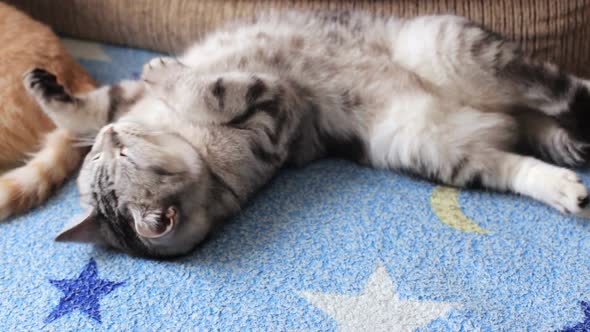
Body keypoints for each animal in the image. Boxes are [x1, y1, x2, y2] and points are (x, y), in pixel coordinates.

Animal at [24, 11, 590, 258]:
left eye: (109, 157)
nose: (111, 138)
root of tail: (498, 110)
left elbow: (96, 102)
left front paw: (45, 84)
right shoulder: (270, 111)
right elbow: (208, 89)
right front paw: (163, 72)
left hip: (452, 50)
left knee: (560, 93)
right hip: (438, 145)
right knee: (533, 137)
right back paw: (567, 190)